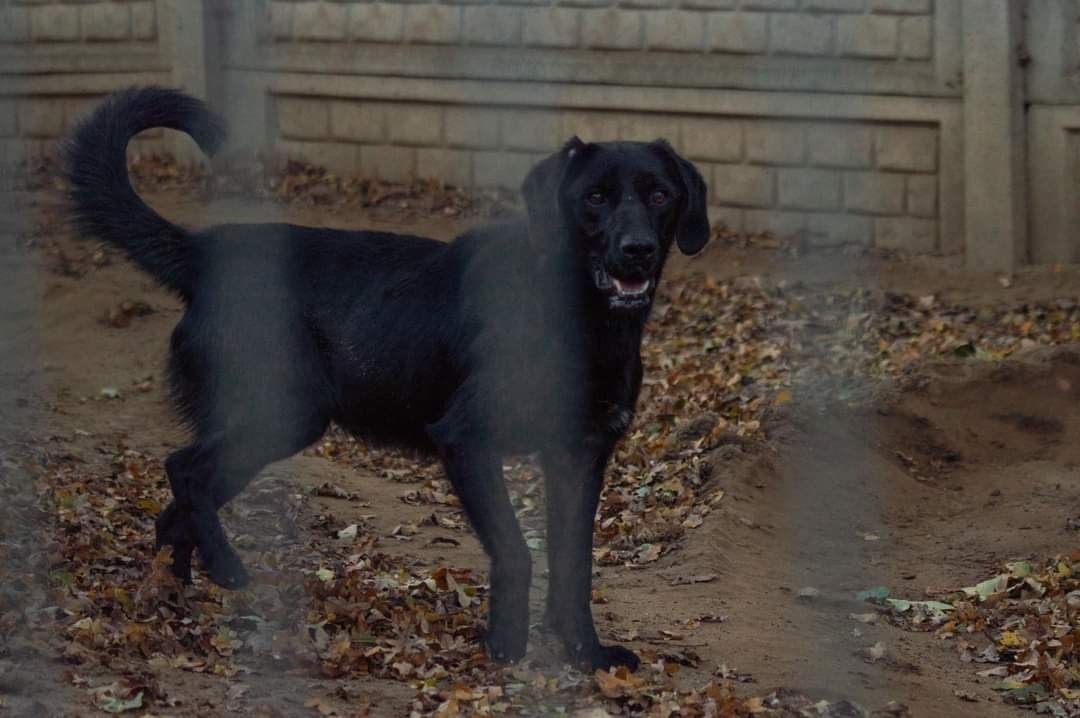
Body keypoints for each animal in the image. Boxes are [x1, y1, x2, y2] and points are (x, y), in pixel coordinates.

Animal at [65, 86, 708, 669]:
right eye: (595, 197)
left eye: (659, 194)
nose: (637, 250)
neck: (581, 318)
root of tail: (203, 256)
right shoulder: (465, 439)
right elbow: (517, 552)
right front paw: (506, 648)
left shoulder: (580, 455)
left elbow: (575, 563)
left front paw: (585, 654)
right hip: (282, 414)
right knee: (183, 470)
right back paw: (224, 570)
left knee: (173, 509)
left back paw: (172, 600)